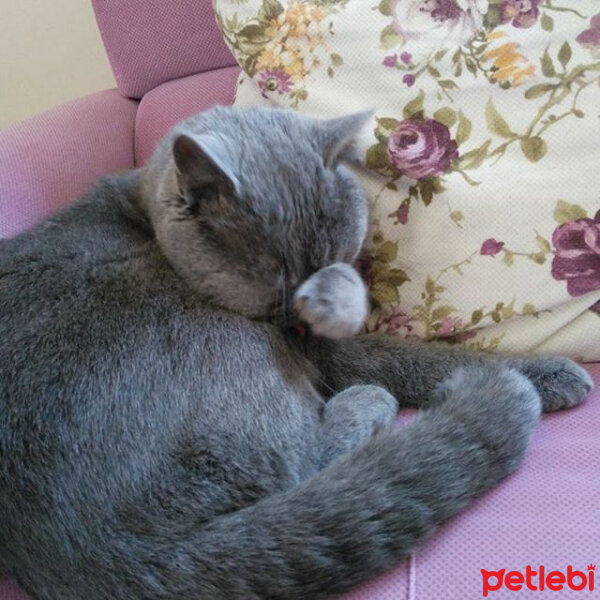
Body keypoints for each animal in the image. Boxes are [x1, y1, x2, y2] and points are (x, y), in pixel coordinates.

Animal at [0, 108, 592, 600]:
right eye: (275, 285)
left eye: (333, 260)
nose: (304, 321)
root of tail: (82, 553)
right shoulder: (313, 348)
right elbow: (407, 356)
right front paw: (555, 373)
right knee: (298, 464)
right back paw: (366, 402)